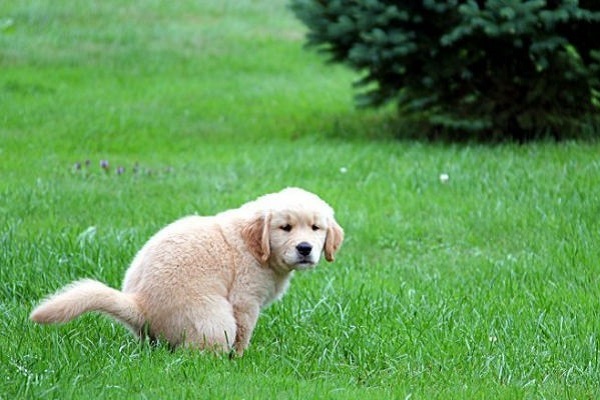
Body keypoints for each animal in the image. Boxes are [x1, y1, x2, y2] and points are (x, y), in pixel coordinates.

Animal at [30, 186, 344, 354]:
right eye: (285, 227)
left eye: (316, 228)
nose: (305, 248)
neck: (256, 246)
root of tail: (139, 305)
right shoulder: (244, 301)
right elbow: (244, 333)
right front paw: (241, 357)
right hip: (214, 320)